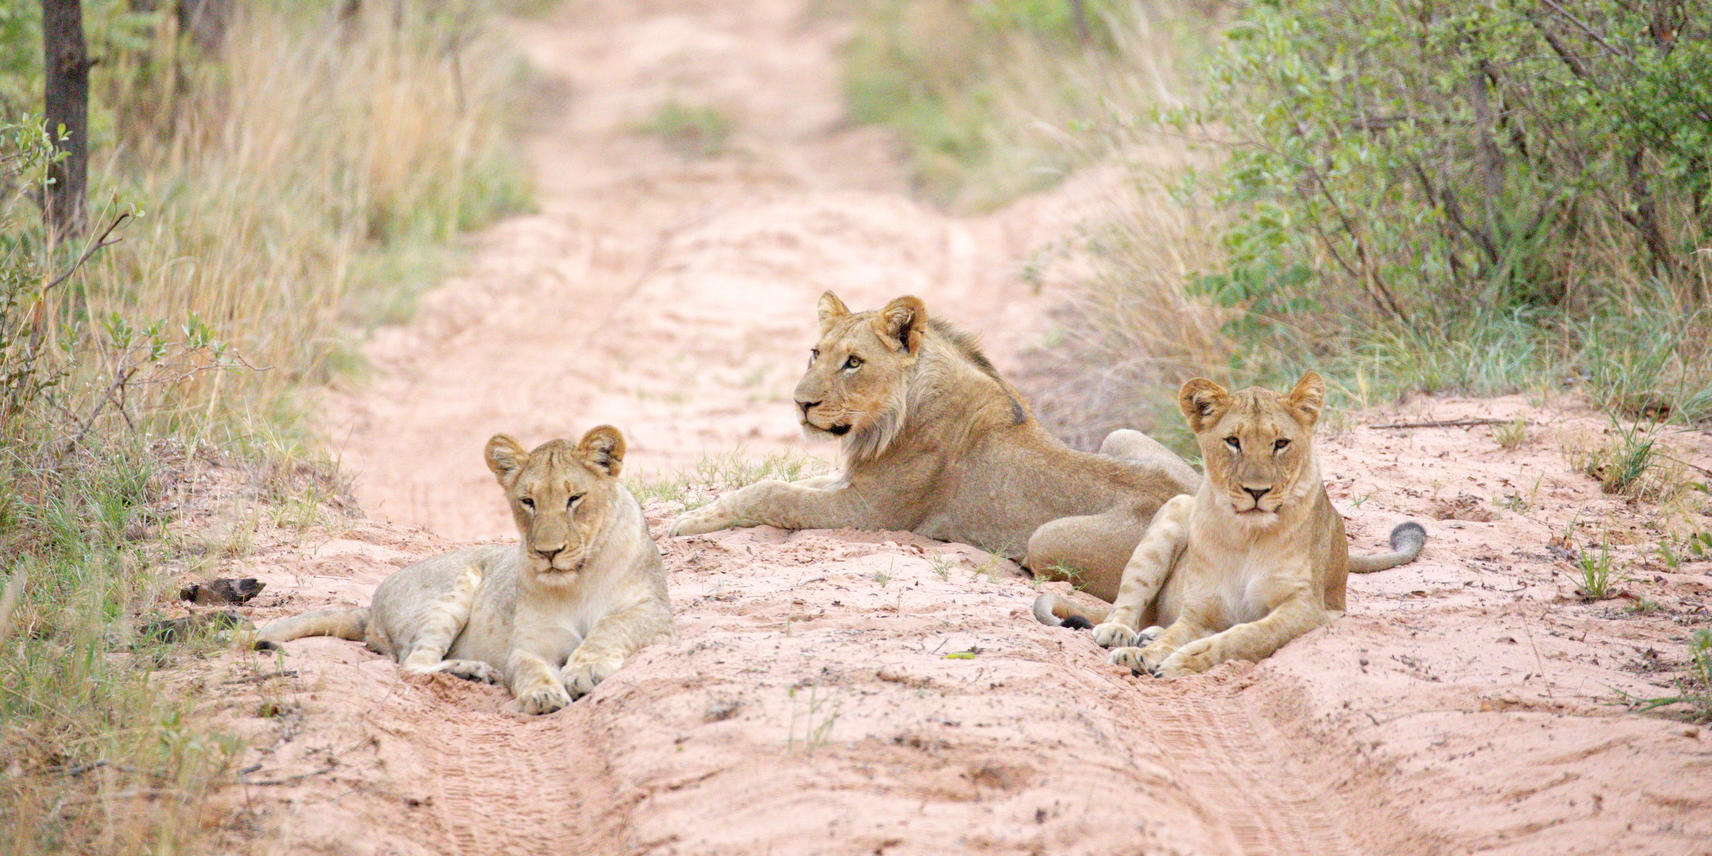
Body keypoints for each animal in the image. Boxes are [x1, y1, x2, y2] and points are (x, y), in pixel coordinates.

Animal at [255, 426, 674, 714]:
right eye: (528, 501)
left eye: (575, 498)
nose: (548, 552)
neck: (578, 580)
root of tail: (369, 607)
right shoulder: (529, 644)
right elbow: (527, 668)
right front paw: (541, 693)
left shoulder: (654, 610)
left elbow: (610, 626)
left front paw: (585, 669)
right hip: (451, 591)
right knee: (413, 664)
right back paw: (473, 670)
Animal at [669, 291, 1199, 600]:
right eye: (815, 353)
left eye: (854, 362)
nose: (801, 403)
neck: (885, 421)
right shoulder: (850, 481)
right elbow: (773, 483)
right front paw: (695, 513)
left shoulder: (869, 511)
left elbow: (772, 492)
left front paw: (686, 523)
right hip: (1120, 437)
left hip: (1047, 539)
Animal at [1032, 372, 1426, 677]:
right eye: (1233, 441)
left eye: (1281, 443)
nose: (1256, 491)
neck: (1247, 535)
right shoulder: (1200, 610)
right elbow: (1177, 634)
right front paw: (1143, 655)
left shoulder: (1309, 608)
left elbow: (1245, 635)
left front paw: (1179, 662)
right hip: (1176, 508)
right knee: (1128, 603)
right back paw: (1121, 633)